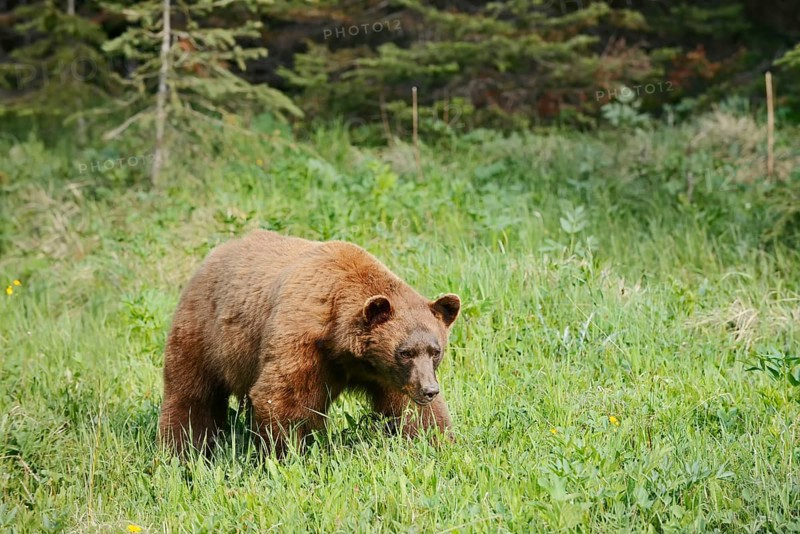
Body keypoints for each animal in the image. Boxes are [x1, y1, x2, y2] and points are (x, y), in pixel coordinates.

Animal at [158, 230, 461, 457]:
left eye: (435, 351)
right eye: (405, 352)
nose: (429, 389)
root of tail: (210, 257)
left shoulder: (388, 374)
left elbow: (411, 411)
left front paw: (437, 441)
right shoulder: (303, 339)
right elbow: (283, 398)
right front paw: (290, 453)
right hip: (205, 333)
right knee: (193, 393)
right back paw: (183, 449)